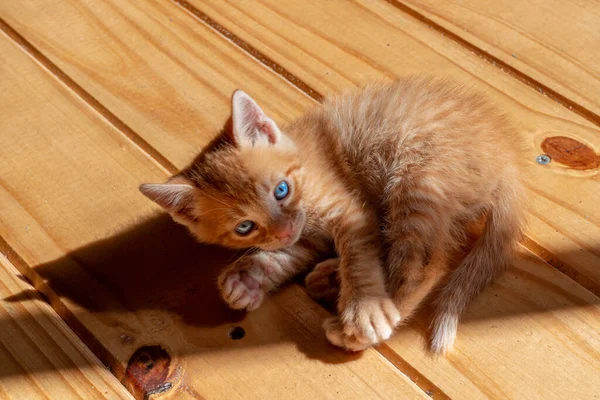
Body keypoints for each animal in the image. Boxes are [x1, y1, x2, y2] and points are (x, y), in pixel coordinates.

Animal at [141, 78, 524, 354]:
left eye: (281, 190)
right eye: (244, 227)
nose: (282, 230)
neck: (303, 164)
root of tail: (505, 158)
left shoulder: (349, 209)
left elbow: (359, 257)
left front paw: (366, 309)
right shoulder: (304, 235)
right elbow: (285, 254)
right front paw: (247, 278)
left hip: (417, 178)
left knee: (426, 264)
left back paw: (359, 319)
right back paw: (329, 279)